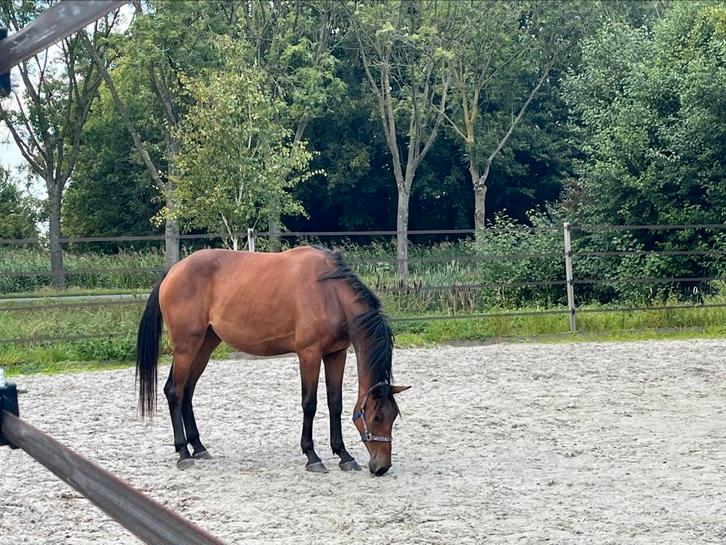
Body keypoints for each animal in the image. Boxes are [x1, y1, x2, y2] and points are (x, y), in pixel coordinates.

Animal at [135, 246, 410, 475]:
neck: (330, 292)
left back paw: (199, 447)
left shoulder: (336, 354)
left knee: (187, 390)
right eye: (377, 417)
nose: (382, 467)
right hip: (186, 346)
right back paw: (183, 452)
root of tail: (173, 270)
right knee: (175, 391)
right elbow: (310, 404)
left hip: (205, 344)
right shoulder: (309, 354)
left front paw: (344, 455)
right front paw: (312, 456)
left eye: (394, 416)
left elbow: (335, 404)